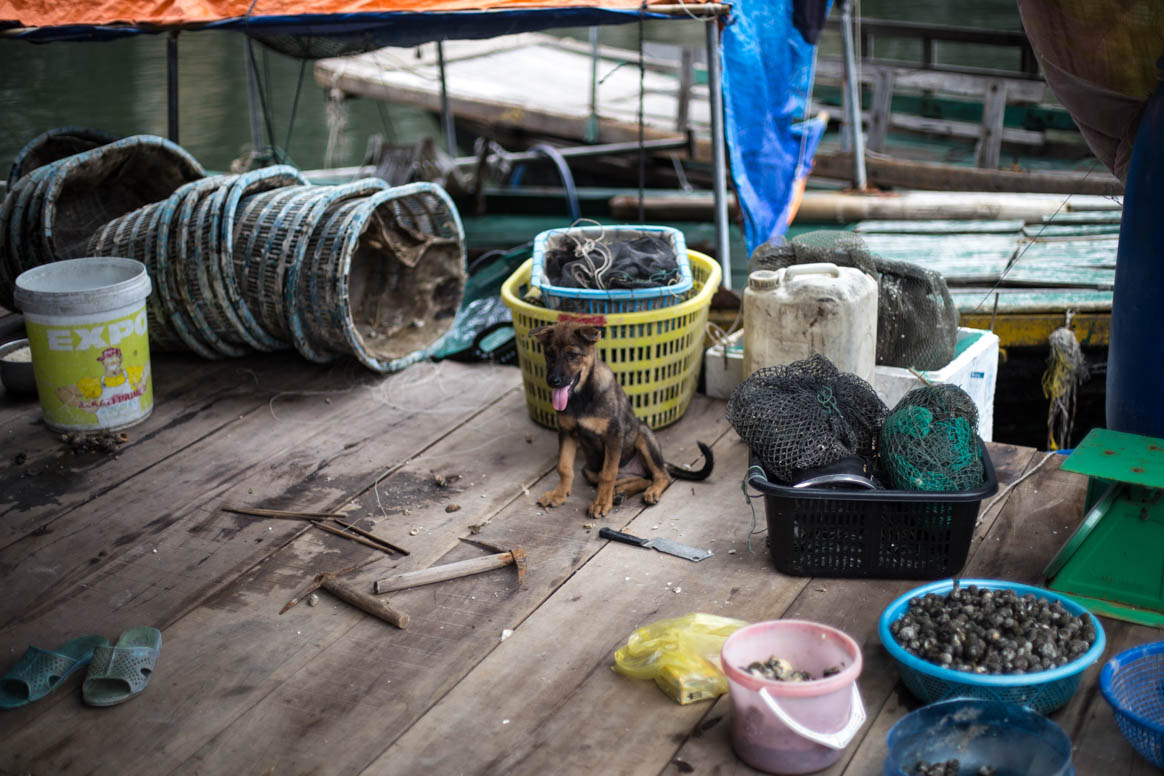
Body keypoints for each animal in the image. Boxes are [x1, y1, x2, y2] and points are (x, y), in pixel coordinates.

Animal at [528, 321, 707, 516]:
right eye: (549, 354)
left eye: (572, 355)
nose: (552, 381)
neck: (581, 396)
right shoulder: (567, 432)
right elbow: (564, 467)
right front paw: (559, 495)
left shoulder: (614, 434)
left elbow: (608, 474)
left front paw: (600, 503)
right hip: (589, 470)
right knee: (638, 479)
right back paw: (619, 493)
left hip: (643, 435)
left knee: (660, 476)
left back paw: (648, 492)